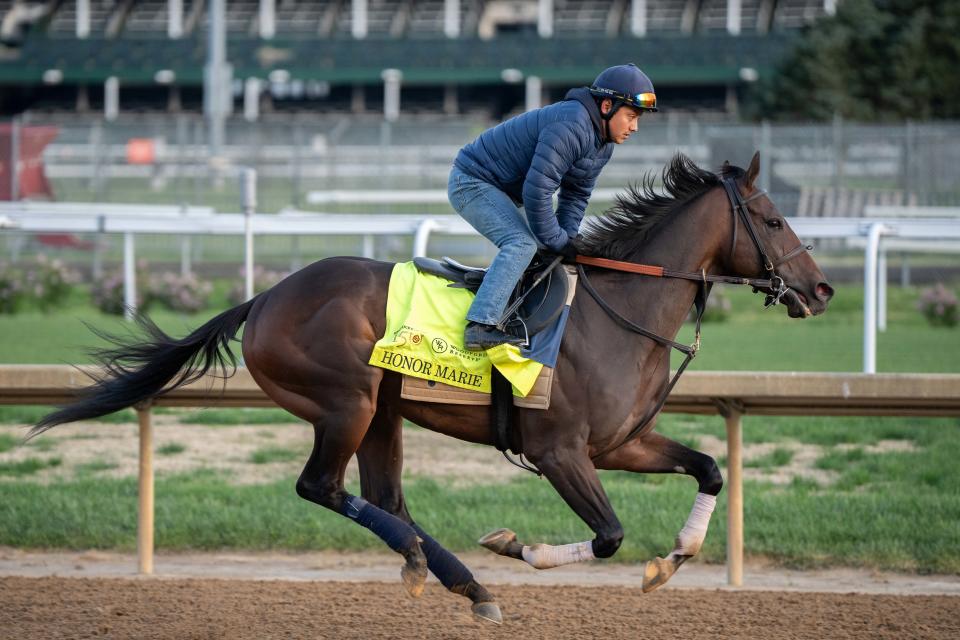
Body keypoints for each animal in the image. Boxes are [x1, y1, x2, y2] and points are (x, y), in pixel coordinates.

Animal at [30, 152, 832, 624]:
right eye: (772, 219)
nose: (820, 288)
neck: (618, 314)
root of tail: (263, 298)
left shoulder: (620, 444)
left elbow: (710, 468)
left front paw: (673, 559)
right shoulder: (560, 451)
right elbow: (608, 535)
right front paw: (517, 547)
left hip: (383, 410)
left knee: (383, 497)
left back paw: (463, 582)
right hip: (346, 400)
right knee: (322, 487)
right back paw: (441, 569)